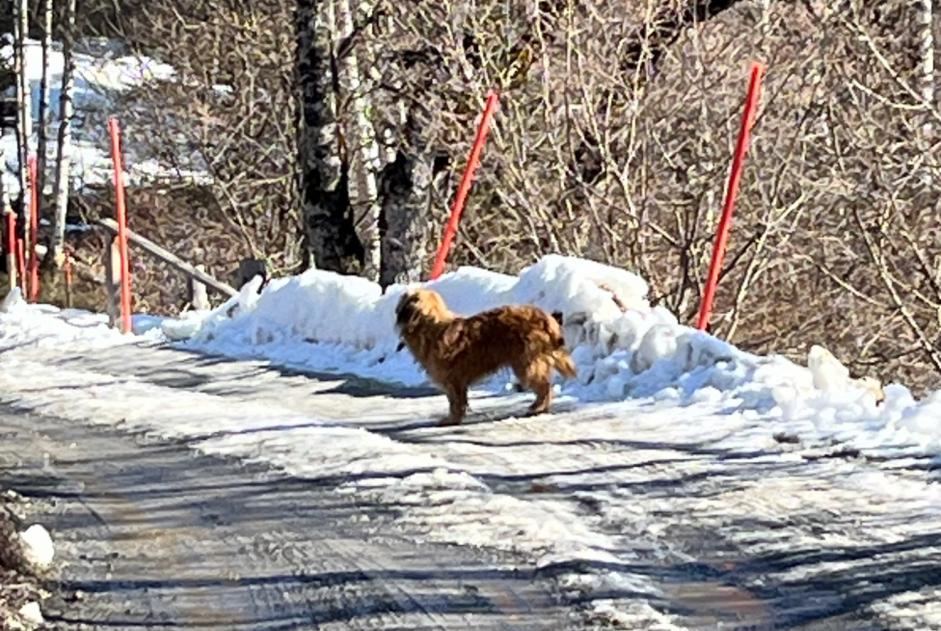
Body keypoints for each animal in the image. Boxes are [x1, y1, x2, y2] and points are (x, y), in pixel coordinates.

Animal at [392, 290, 576, 428]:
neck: (430, 326)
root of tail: (545, 318)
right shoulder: (457, 381)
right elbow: (458, 401)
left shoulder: (453, 380)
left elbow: (455, 402)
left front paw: (452, 419)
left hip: (526, 364)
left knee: (544, 386)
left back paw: (537, 408)